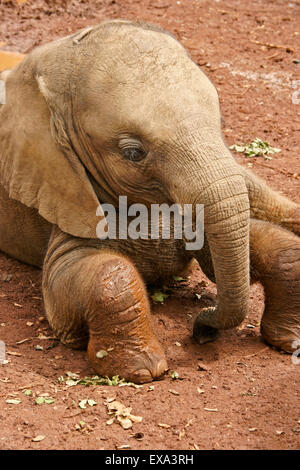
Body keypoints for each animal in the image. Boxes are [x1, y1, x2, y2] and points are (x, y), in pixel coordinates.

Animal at [0, 20, 298, 384]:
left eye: (221, 124)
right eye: (133, 153)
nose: (201, 331)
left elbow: (264, 248)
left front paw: (291, 340)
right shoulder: (64, 191)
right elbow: (81, 274)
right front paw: (142, 370)